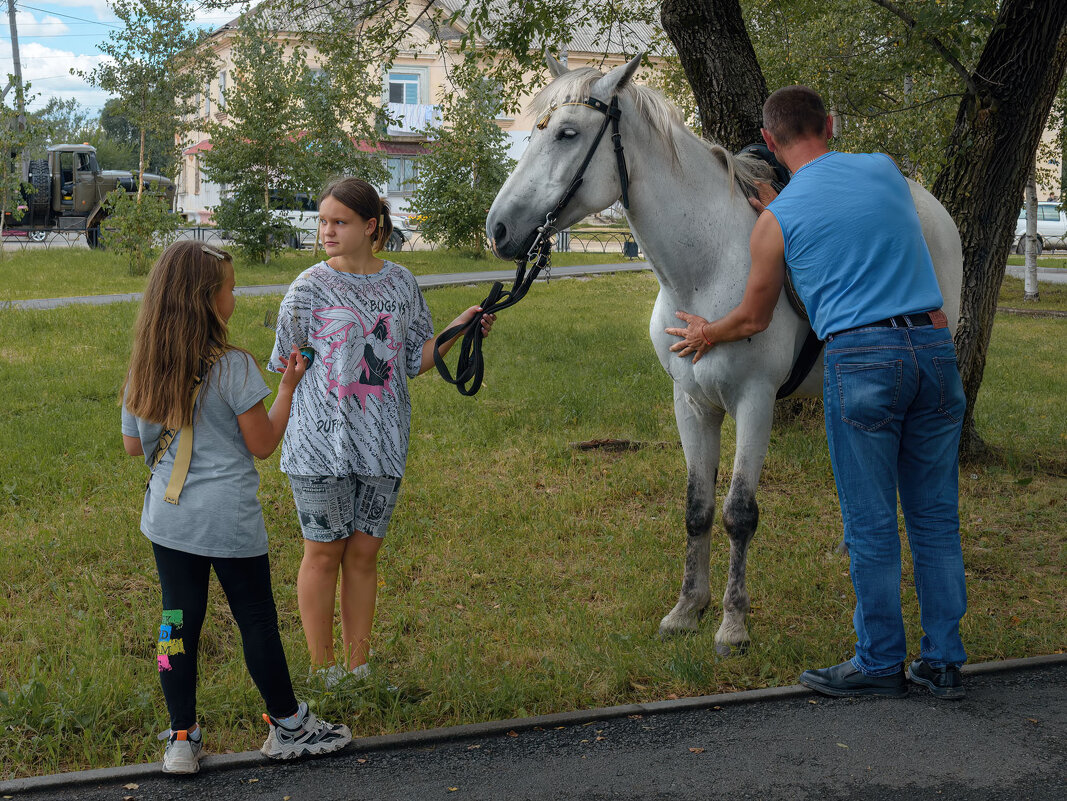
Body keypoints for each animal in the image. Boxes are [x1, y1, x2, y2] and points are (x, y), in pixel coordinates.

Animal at [488, 57, 964, 657]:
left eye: (568, 134)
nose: (498, 228)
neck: (706, 269)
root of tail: (931, 207)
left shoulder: (755, 403)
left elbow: (740, 512)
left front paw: (733, 624)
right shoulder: (692, 403)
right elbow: (698, 509)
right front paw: (687, 609)